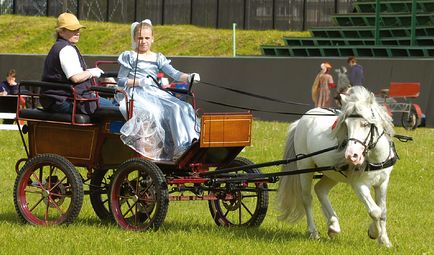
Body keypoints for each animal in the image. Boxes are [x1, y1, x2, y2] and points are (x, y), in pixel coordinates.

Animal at [278, 86, 396, 247]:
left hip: (331, 172)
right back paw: (313, 232)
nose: (351, 156)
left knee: (320, 189)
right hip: (305, 166)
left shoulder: (383, 182)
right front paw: (373, 232)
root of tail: (303, 119)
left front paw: (384, 240)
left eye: (365, 124)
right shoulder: (358, 184)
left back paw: (333, 225)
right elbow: (374, 211)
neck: (374, 158)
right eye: (346, 125)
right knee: (307, 198)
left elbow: (382, 210)